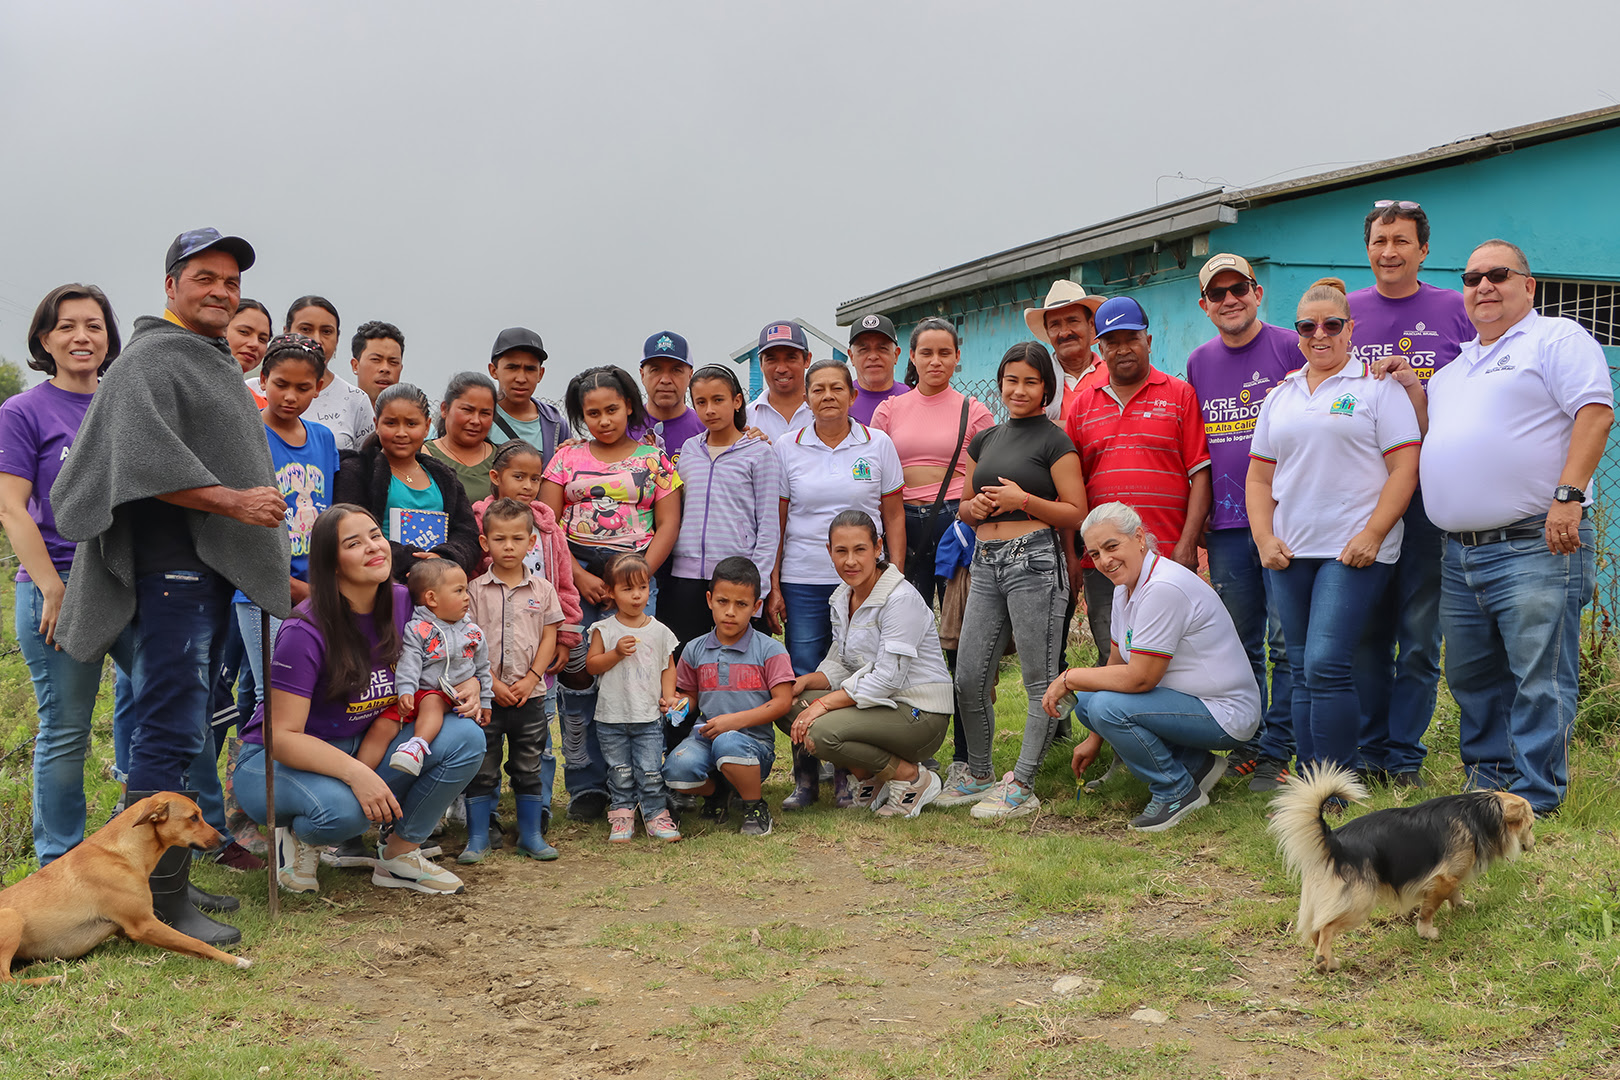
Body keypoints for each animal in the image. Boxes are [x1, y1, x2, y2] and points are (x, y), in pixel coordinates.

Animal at [0, 790, 252, 984]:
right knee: (7, 980)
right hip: (12, 918)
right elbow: (197, 942)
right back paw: (49, 979)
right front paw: (236, 961)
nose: (223, 840)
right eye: (193, 817)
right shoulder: (143, 924)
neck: (121, 852)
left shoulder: (128, 929)